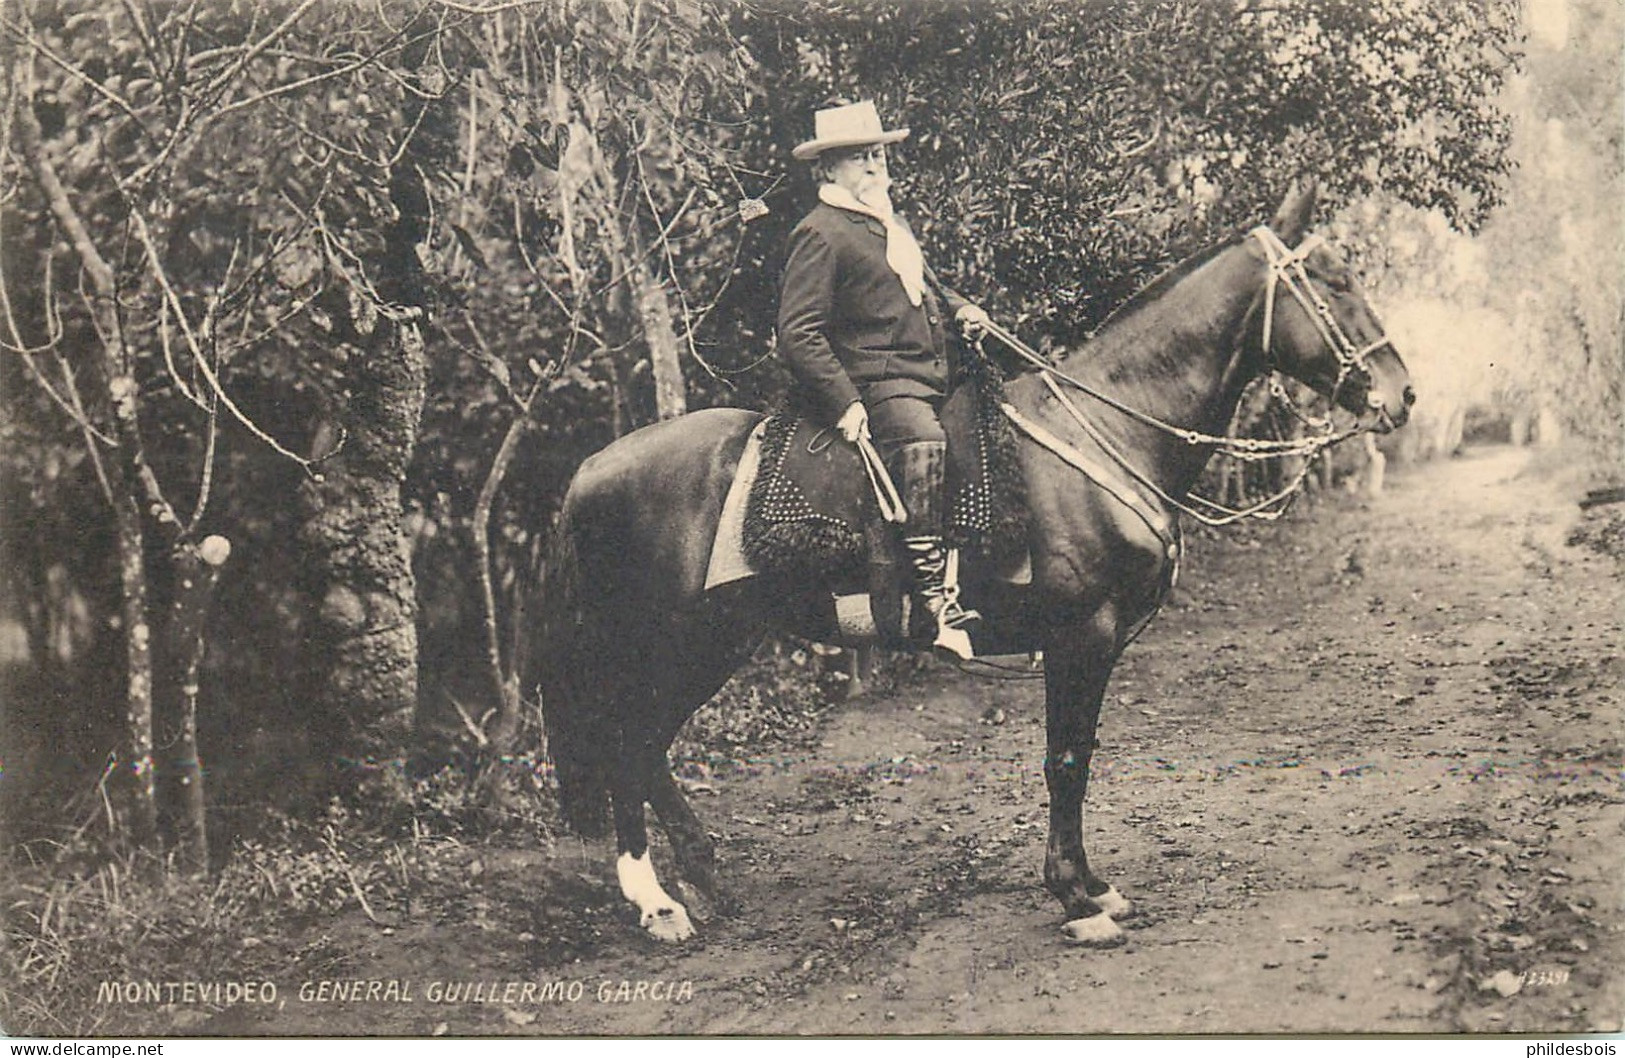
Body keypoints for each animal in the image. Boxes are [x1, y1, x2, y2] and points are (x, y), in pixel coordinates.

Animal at [539, 186, 1417, 949]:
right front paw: (1077, 899)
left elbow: (1078, 754)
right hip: (676, 641)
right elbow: (1066, 761)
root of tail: (587, 469)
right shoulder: (1080, 637)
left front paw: (1089, 887)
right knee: (628, 743)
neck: (1107, 432)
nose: (1401, 394)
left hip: (714, 643)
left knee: (647, 748)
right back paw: (655, 901)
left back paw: (701, 879)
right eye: (1335, 281)